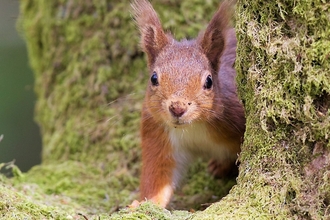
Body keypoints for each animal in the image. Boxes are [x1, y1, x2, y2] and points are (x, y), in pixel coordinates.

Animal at [131, 0, 245, 208]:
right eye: (153, 78)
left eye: (209, 81)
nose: (178, 107)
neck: (194, 127)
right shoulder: (158, 134)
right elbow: (158, 176)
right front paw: (143, 204)